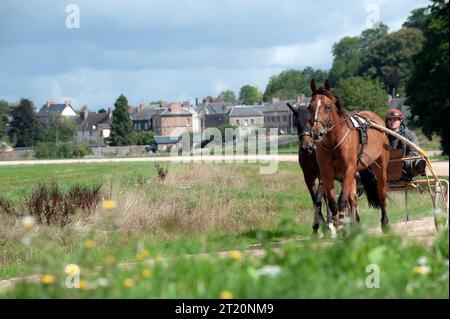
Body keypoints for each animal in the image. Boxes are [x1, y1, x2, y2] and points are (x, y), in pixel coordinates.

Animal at [306, 79, 390, 231]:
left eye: (327, 107)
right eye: (310, 106)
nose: (316, 133)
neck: (334, 141)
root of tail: (375, 118)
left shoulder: (349, 169)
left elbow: (342, 201)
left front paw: (343, 229)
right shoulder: (327, 173)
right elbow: (333, 204)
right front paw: (339, 227)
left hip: (381, 165)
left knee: (381, 192)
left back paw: (385, 223)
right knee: (353, 199)